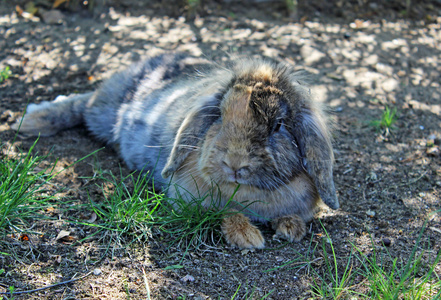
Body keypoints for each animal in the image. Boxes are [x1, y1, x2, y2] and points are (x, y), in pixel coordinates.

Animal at [12, 51, 338, 248]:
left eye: (278, 125)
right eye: (220, 115)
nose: (234, 163)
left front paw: (291, 228)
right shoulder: (189, 199)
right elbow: (223, 213)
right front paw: (247, 237)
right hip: (102, 112)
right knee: (81, 104)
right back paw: (31, 120)